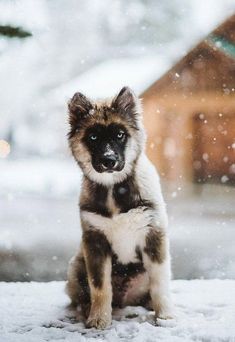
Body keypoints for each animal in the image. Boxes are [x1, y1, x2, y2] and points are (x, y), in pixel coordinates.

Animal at [65, 86, 173, 328]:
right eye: (93, 136)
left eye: (120, 135)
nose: (109, 161)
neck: (114, 187)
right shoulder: (95, 242)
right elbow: (100, 286)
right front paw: (98, 318)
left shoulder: (153, 235)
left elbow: (160, 282)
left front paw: (165, 316)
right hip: (76, 265)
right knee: (79, 295)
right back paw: (84, 310)